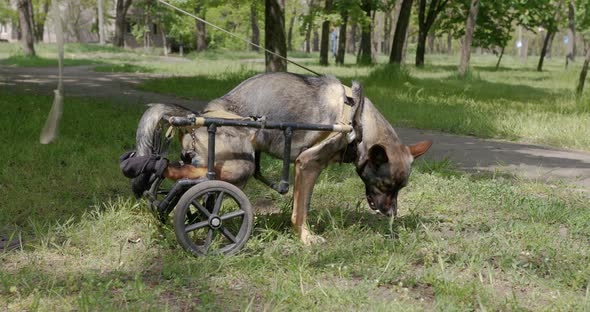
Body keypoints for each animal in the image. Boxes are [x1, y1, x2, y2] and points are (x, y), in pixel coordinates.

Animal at [132, 72, 432, 245]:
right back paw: (160, 169)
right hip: (240, 166)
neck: (357, 121)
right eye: (385, 186)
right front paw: (306, 238)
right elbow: (301, 210)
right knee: (188, 175)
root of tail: (197, 116)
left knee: (195, 182)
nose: (391, 215)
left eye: (400, 188)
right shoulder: (307, 166)